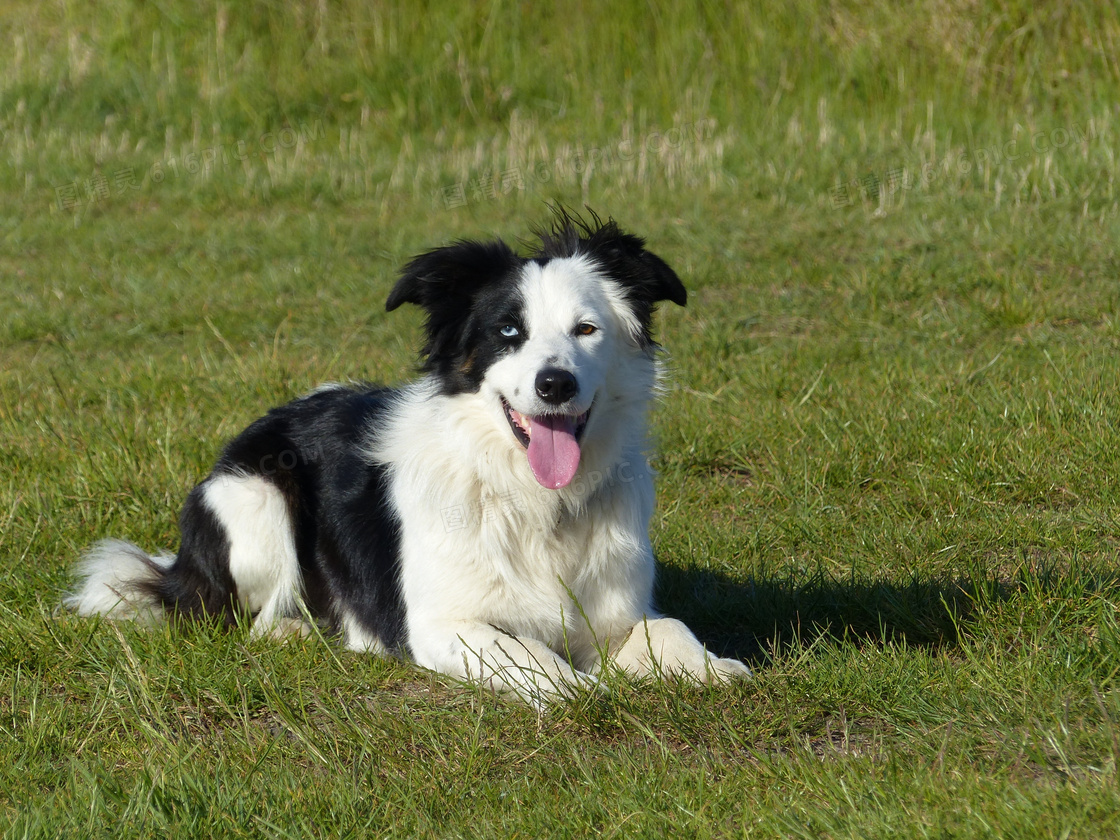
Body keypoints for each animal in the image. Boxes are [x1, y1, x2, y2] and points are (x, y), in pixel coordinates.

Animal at [63, 211, 752, 703]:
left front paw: (713, 667)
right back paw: (298, 628)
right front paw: (583, 689)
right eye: (508, 332)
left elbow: (669, 628)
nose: (555, 384)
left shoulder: (615, 614)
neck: (534, 503)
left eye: (587, 329)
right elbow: (533, 656)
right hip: (253, 499)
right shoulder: (441, 624)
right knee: (243, 613)